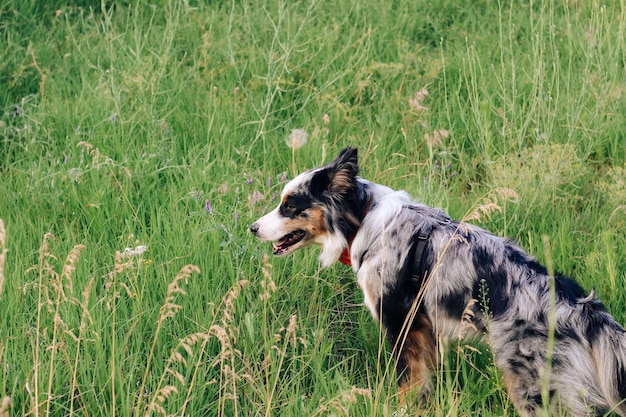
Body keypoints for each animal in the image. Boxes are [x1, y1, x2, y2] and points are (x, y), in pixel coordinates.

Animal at [249, 148, 624, 414]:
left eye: (289, 206)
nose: (252, 228)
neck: (364, 220)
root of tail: (581, 306)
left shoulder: (401, 320)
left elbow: (407, 379)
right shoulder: (425, 327)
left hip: (535, 385)